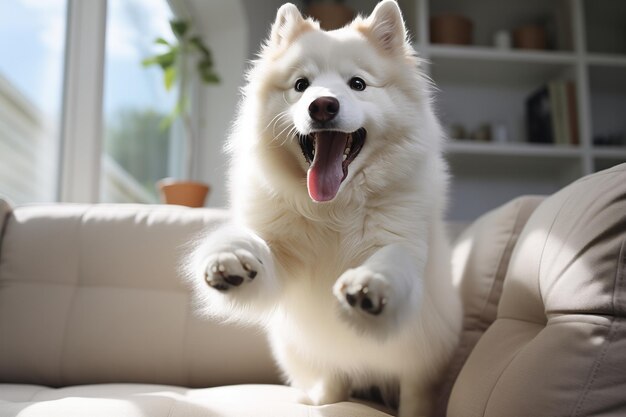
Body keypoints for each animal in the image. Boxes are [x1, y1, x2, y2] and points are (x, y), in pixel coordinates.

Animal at [184, 1, 458, 414]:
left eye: (357, 84)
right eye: (301, 85)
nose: (323, 105)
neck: (334, 209)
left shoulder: (405, 245)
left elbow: (390, 259)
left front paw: (369, 284)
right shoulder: (281, 258)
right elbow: (254, 245)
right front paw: (230, 258)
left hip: (420, 366)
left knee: (415, 394)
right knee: (333, 381)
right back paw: (318, 399)